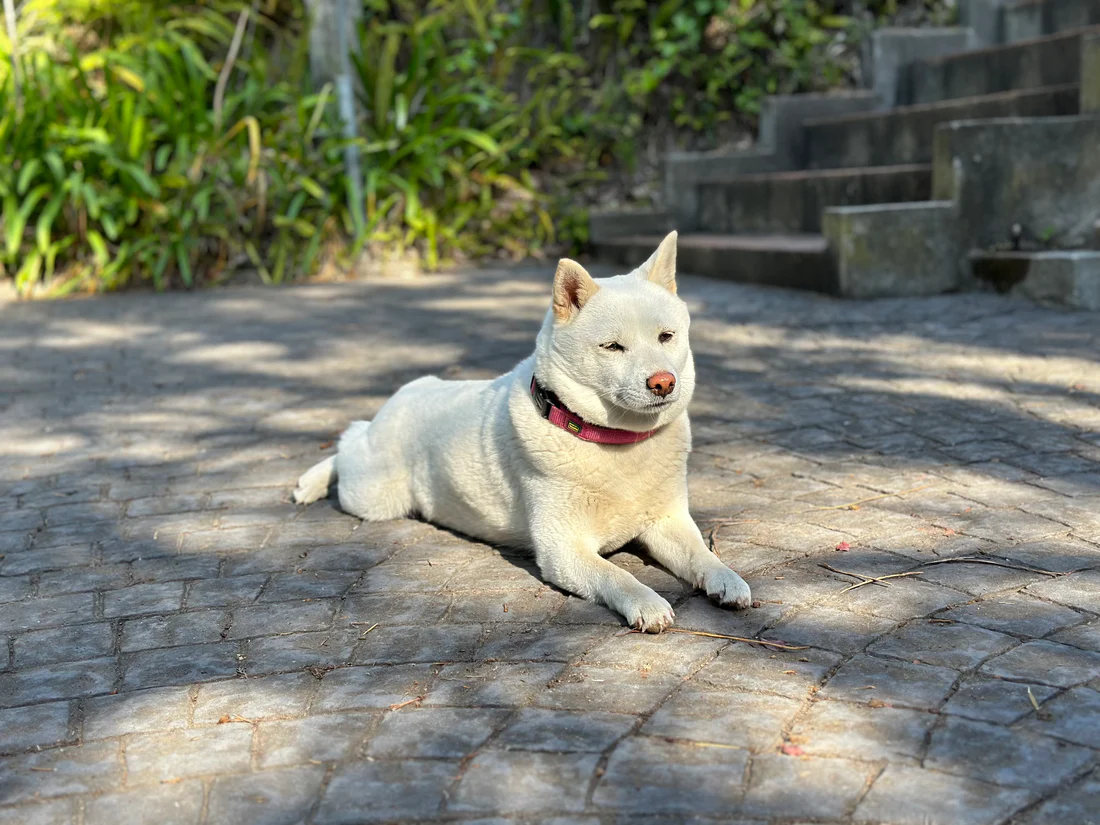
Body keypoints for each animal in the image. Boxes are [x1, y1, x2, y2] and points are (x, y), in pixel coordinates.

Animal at [292, 233, 752, 633]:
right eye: (612, 347)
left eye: (666, 337)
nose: (663, 383)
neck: (614, 441)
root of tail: (410, 389)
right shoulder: (563, 549)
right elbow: (615, 575)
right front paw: (647, 602)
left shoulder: (667, 521)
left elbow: (701, 554)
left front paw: (725, 578)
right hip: (374, 495)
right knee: (349, 440)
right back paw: (310, 482)